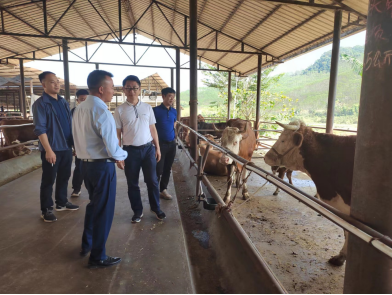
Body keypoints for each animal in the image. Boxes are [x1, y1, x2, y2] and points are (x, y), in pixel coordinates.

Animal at [264, 121, 356, 268]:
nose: (266, 157)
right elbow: (346, 231)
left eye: (283, 140)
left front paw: (340, 257)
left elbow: (348, 232)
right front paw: (341, 257)